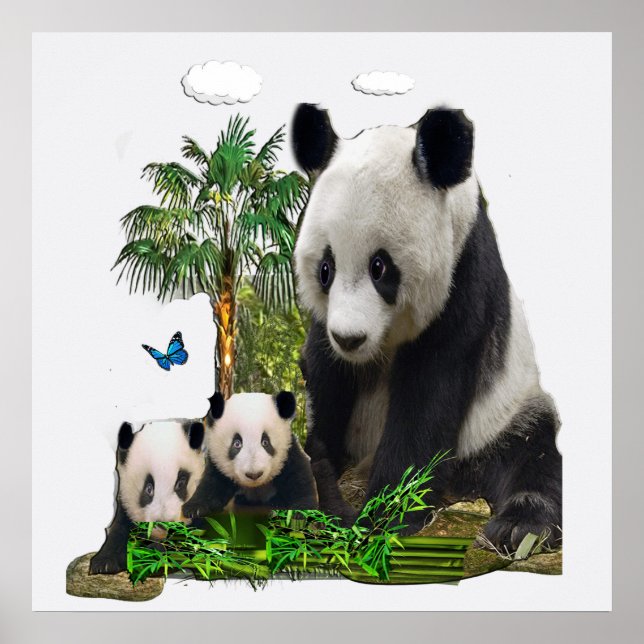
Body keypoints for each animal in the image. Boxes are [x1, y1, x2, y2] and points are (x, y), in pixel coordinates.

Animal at [89, 419, 206, 574]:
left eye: (180, 483)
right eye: (149, 489)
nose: (164, 524)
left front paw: (154, 555)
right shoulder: (125, 501)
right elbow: (119, 528)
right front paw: (104, 563)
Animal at [182, 391, 318, 517]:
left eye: (265, 442)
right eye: (237, 443)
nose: (254, 475)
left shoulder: (288, 451)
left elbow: (298, 477)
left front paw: (302, 510)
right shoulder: (217, 460)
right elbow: (212, 483)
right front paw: (194, 508)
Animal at [291, 103, 562, 550]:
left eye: (380, 267)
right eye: (325, 269)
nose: (350, 339)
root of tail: (466, 484)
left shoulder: (462, 279)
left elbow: (429, 393)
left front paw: (383, 517)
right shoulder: (325, 326)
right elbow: (325, 379)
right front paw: (319, 482)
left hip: (503, 414)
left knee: (535, 452)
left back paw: (519, 526)